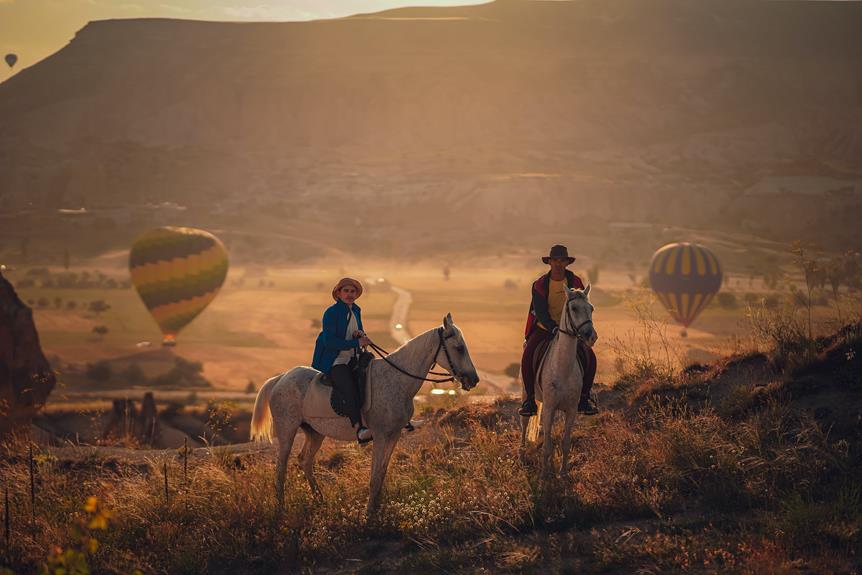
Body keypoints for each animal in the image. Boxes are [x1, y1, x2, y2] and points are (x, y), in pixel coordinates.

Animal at [250, 316, 480, 516]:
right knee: (281, 468)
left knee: (305, 461)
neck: (397, 379)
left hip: (315, 433)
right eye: (459, 348)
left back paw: (319, 499)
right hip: (287, 430)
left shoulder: (394, 435)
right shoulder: (380, 436)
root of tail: (280, 378)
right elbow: (374, 477)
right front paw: (370, 515)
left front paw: (377, 509)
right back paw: (280, 508)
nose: (474, 379)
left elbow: (381, 474)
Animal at [520, 284, 600, 476]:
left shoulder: (570, 410)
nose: (591, 336)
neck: (563, 368)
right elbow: (547, 446)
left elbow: (565, 443)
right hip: (526, 394)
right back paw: (522, 453)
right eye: (574, 308)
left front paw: (563, 473)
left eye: (591, 308)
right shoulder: (549, 408)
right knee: (524, 423)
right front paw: (544, 475)